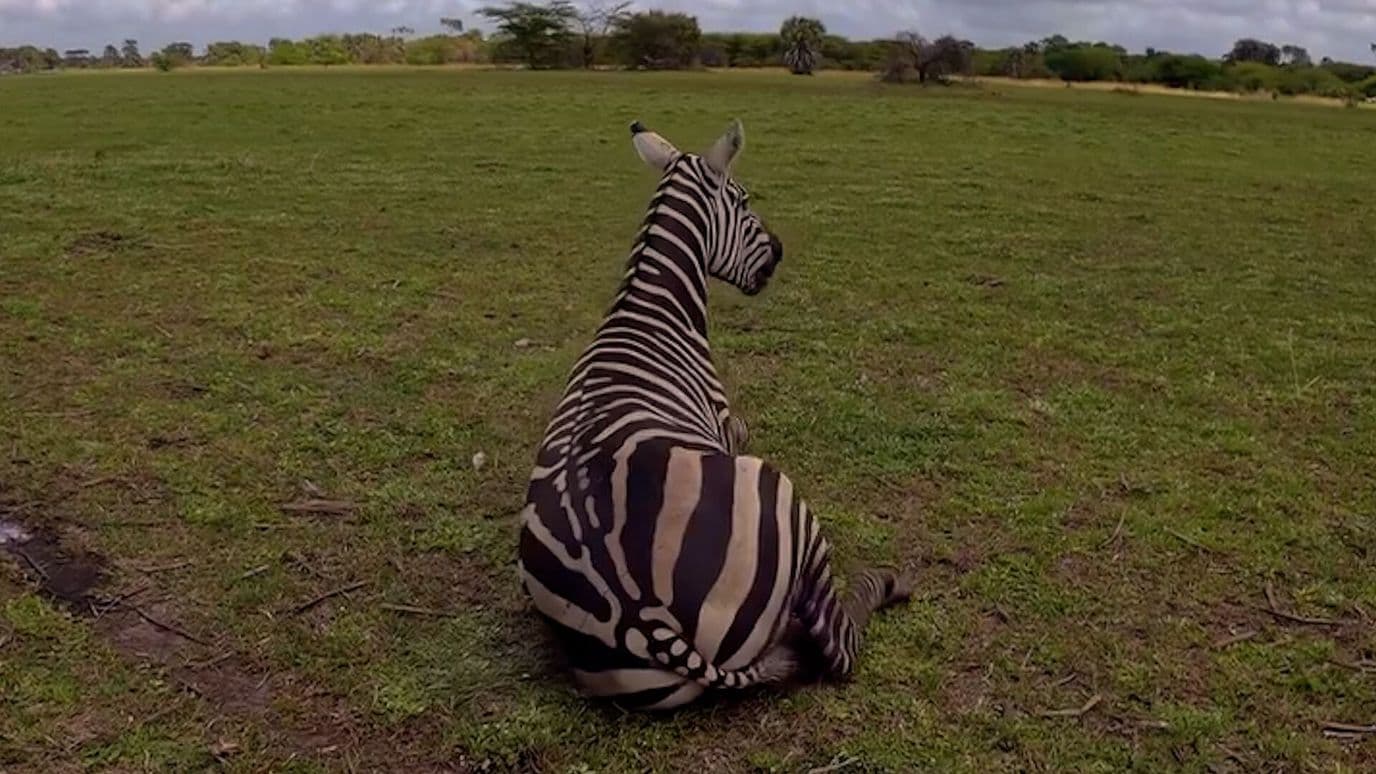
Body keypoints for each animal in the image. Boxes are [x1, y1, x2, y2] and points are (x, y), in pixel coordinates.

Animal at [518, 119, 912, 711]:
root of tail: (640, 616)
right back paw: (885, 584)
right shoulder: (727, 424)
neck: (649, 310)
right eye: (743, 200)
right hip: (780, 493)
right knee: (838, 645)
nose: (779, 252)